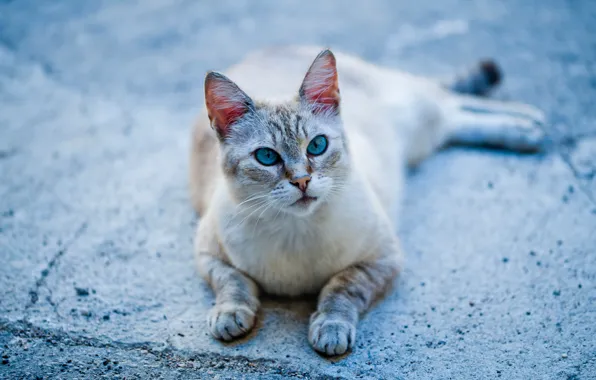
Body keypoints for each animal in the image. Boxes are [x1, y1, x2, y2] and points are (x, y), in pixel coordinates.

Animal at [189, 45, 548, 356]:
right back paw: (528, 126)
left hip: (414, 112)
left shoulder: (382, 259)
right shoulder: (207, 253)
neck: (296, 233)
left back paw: (529, 123)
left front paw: (330, 328)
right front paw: (230, 315)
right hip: (423, 132)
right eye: (266, 157)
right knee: (452, 116)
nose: (302, 181)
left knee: (449, 100)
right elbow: (233, 283)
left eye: (317, 146)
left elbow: (341, 289)